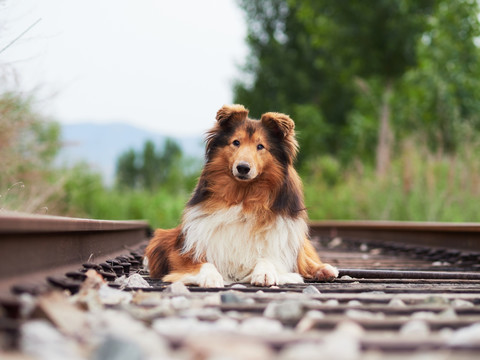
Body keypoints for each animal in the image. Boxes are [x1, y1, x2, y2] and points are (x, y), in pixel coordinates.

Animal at [145, 104, 338, 286]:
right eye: (236, 142)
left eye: (260, 146)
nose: (243, 168)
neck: (243, 198)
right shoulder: (184, 250)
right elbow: (204, 263)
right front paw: (210, 277)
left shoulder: (279, 248)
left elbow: (268, 259)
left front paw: (265, 273)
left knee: (304, 260)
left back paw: (324, 270)